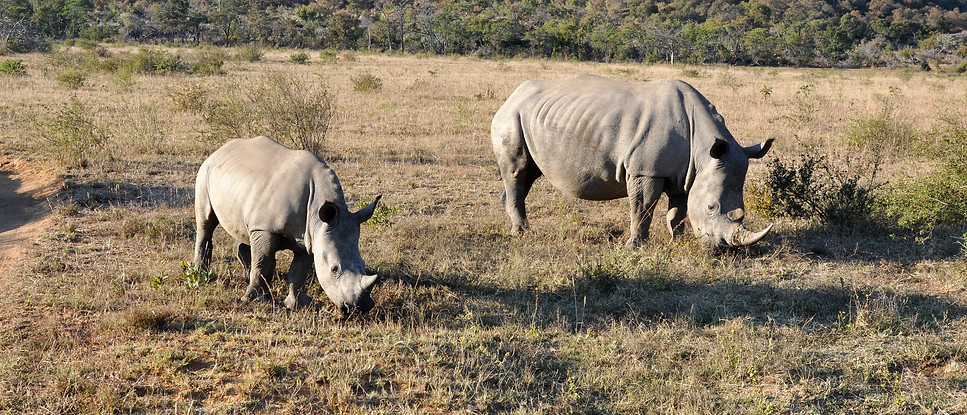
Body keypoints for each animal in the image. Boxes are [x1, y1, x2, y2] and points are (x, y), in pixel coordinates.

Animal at [193, 136, 381, 313]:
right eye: (334, 269)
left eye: (363, 265)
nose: (360, 307)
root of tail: (221, 149)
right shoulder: (266, 228)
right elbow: (263, 264)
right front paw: (253, 300)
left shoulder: (311, 237)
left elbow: (298, 271)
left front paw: (298, 305)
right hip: (205, 171)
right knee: (206, 222)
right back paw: (200, 274)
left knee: (245, 229)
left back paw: (245, 276)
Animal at [491, 75, 773, 249]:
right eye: (711, 207)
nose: (722, 249)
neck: (703, 153)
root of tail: (512, 96)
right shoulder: (646, 171)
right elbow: (643, 207)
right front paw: (636, 246)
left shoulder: (685, 175)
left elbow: (678, 212)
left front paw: (677, 241)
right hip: (510, 117)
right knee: (517, 170)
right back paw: (522, 233)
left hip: (532, 116)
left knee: (527, 174)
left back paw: (515, 224)